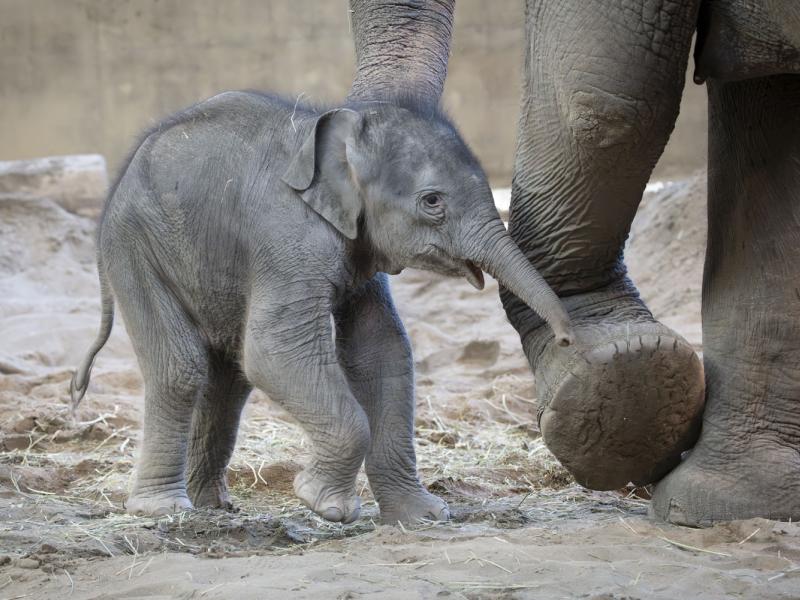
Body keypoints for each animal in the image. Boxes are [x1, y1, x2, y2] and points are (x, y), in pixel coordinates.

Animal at [69, 90, 572, 524]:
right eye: (432, 201)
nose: (568, 338)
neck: (339, 136)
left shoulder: (359, 250)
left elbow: (382, 353)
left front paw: (425, 517)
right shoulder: (288, 238)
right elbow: (274, 352)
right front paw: (326, 505)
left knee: (227, 376)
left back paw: (211, 506)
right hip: (135, 248)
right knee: (182, 368)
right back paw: (163, 509)